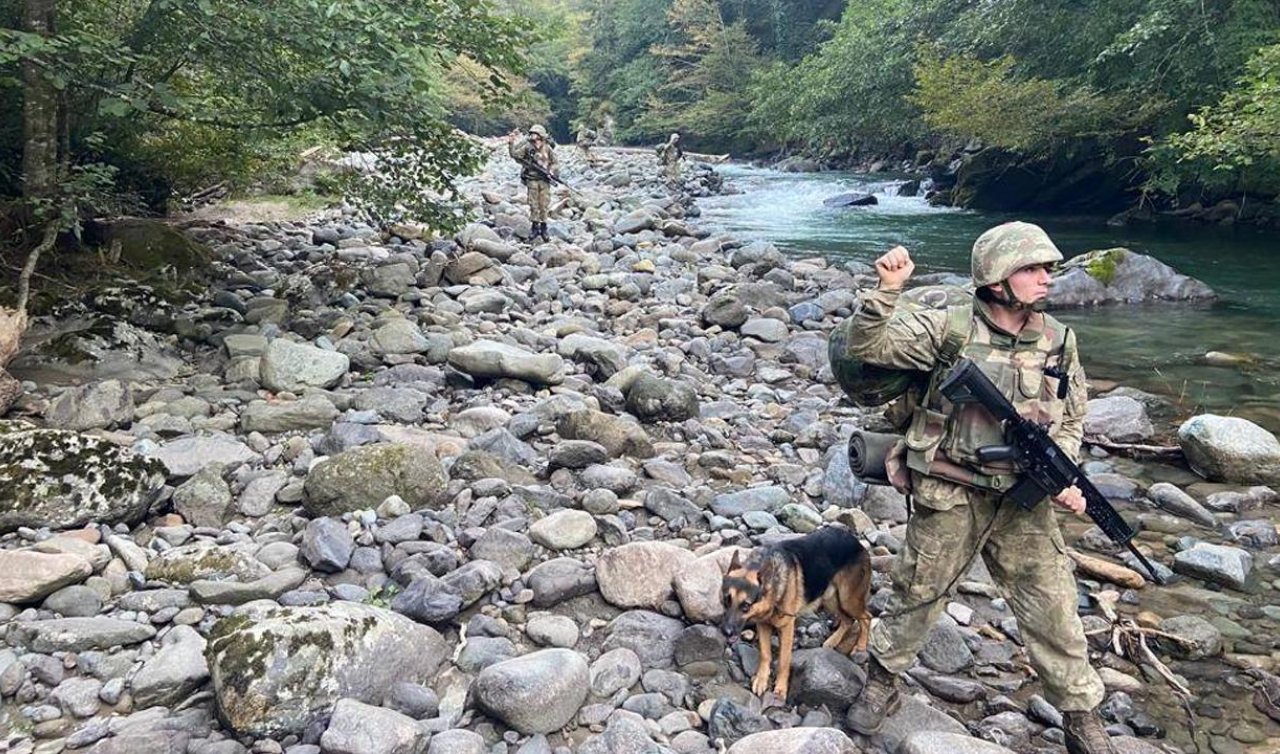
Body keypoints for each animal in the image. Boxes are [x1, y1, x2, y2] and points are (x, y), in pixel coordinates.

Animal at [721, 527, 870, 696]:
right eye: (727, 600)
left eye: (745, 606)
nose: (725, 632)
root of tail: (855, 541)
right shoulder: (763, 625)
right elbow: (765, 654)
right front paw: (761, 679)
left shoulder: (787, 627)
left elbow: (784, 660)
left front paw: (780, 688)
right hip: (828, 598)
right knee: (848, 620)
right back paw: (833, 640)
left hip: (848, 600)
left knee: (866, 617)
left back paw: (861, 646)